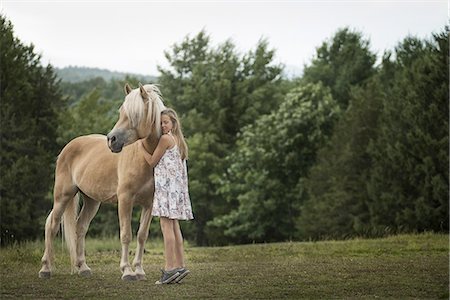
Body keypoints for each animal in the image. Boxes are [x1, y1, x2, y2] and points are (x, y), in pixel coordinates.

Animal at [39, 82, 165, 282]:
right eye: (121, 111)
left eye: (135, 115)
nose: (111, 140)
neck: (145, 159)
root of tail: (68, 147)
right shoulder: (125, 200)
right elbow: (126, 234)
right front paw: (127, 271)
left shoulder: (149, 203)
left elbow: (141, 235)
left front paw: (139, 270)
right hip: (63, 195)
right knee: (51, 224)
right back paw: (45, 269)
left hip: (91, 201)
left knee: (80, 227)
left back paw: (83, 268)